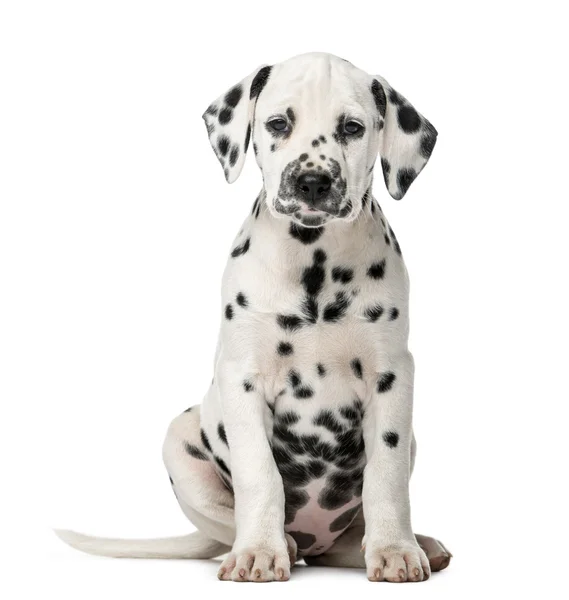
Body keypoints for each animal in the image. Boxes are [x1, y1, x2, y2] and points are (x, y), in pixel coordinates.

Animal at [55, 50, 450, 580]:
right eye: (278, 123)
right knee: (236, 522)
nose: (312, 181)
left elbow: (385, 477)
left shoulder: (392, 377)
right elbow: (258, 474)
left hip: (409, 445)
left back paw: (408, 544)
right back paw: (274, 540)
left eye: (352, 127)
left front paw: (395, 550)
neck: (314, 263)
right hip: (178, 438)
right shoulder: (241, 377)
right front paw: (259, 550)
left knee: (345, 539)